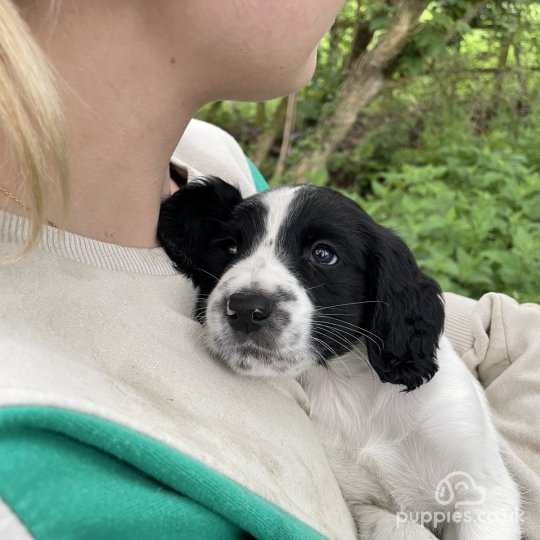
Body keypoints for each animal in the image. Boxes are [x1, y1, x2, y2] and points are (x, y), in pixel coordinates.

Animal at [158, 178, 520, 540]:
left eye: (323, 254)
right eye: (230, 248)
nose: (245, 309)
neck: (353, 386)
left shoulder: (485, 492)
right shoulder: (365, 504)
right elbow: (405, 529)